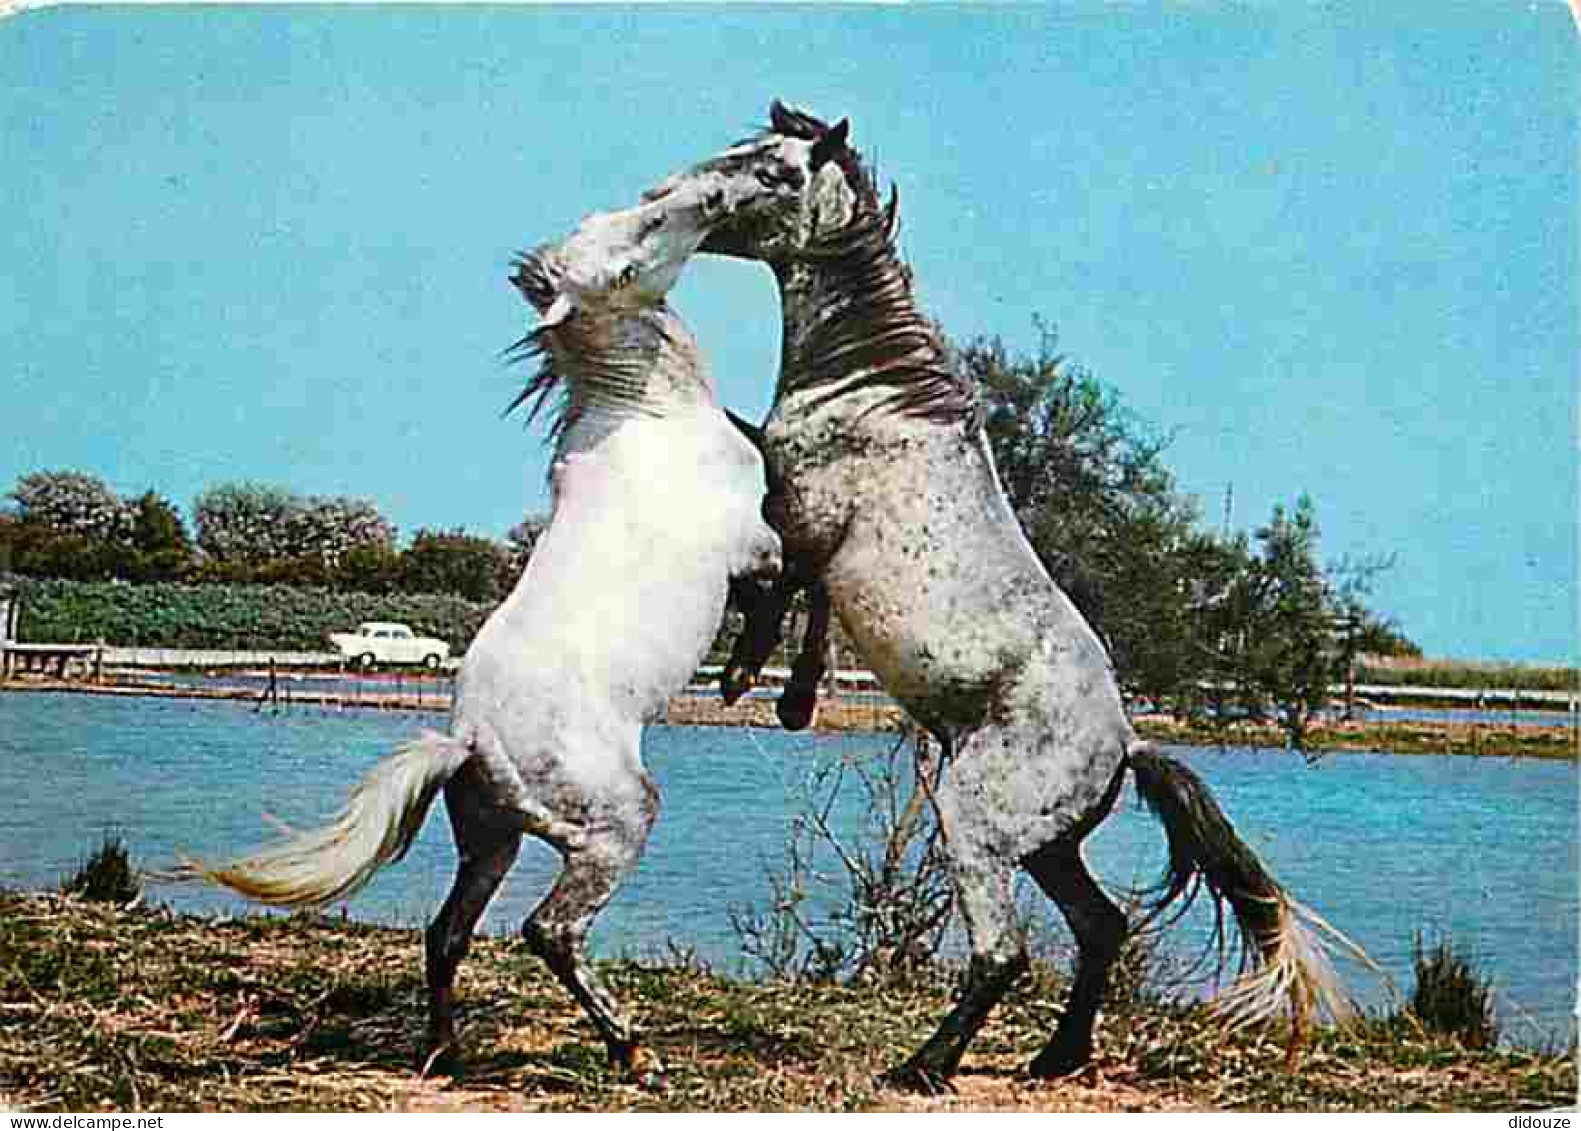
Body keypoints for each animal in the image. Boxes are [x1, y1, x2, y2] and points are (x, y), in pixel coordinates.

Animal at [188, 179, 781, 1081]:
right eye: (632, 248)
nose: (712, 192)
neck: (649, 413)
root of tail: (469, 737)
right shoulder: (757, 545)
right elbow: (788, 599)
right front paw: (749, 677)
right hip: (614, 824)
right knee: (550, 929)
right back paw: (632, 1048)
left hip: (490, 840)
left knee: (448, 932)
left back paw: (446, 1050)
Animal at [641, 103, 1359, 1088]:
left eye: (777, 172)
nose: (669, 198)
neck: (871, 397)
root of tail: (1124, 747)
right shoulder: (815, 532)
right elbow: (807, 596)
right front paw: (790, 696)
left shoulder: (803, 509)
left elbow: (780, 573)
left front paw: (747, 674)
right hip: (1048, 845)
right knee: (1100, 927)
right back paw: (1053, 1058)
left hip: (976, 828)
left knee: (1003, 952)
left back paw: (921, 1065)